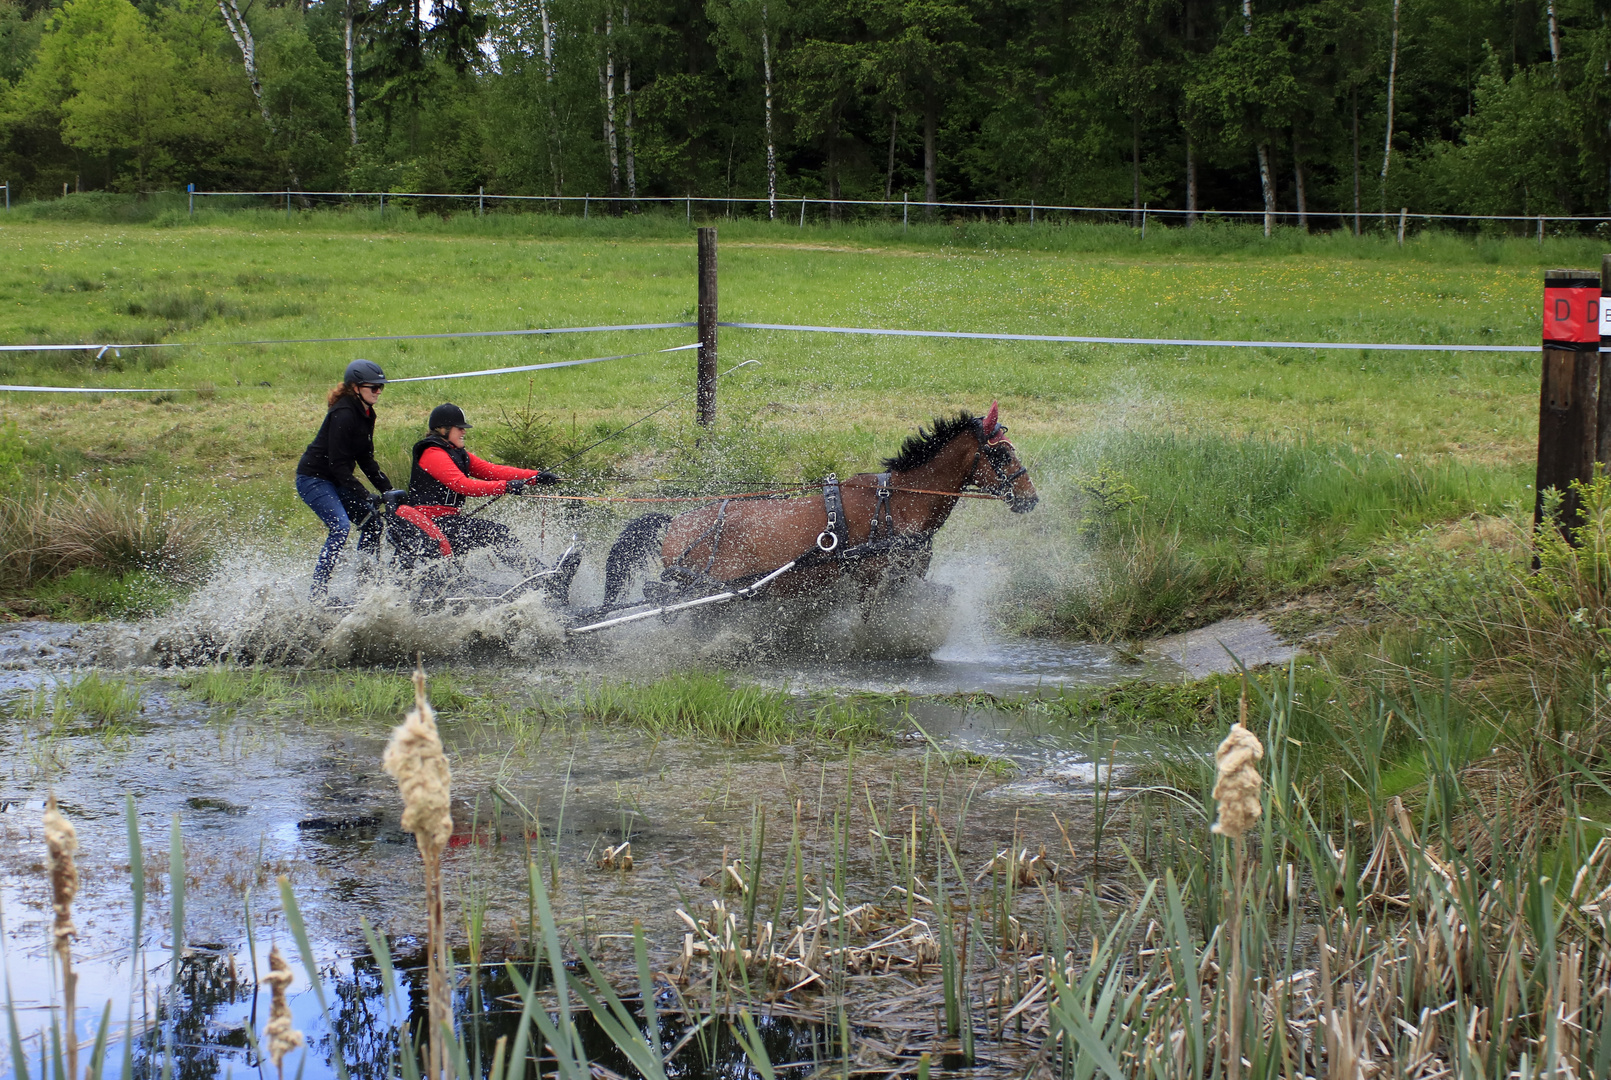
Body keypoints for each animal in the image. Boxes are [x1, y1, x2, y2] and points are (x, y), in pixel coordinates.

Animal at [599, 404, 1037, 612]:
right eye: (1002, 454)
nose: (1031, 497)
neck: (896, 502)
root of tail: (676, 522)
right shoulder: (871, 582)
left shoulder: (907, 578)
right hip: (703, 592)